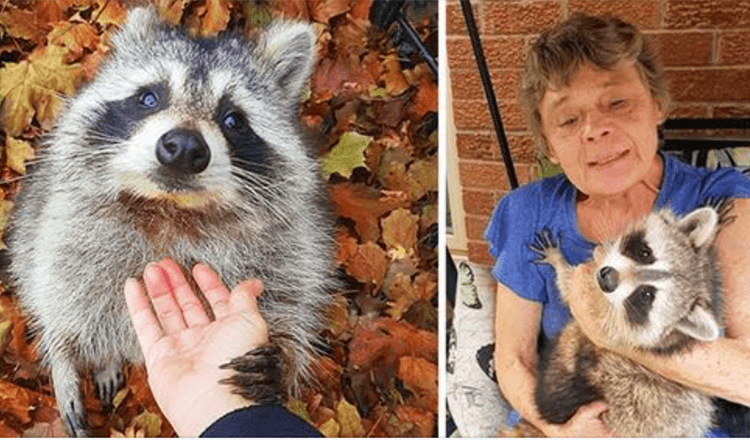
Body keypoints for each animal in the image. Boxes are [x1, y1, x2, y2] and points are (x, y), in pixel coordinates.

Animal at [5, 6, 334, 436]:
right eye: (149, 97)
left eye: (233, 119)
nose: (183, 148)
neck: (171, 211)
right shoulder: (61, 222)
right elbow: (54, 291)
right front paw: (63, 357)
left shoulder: (292, 246)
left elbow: (292, 300)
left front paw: (282, 355)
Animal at [512, 206, 728, 436]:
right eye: (645, 253)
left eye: (646, 295)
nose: (607, 278)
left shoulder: (598, 308)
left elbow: (570, 287)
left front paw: (558, 262)